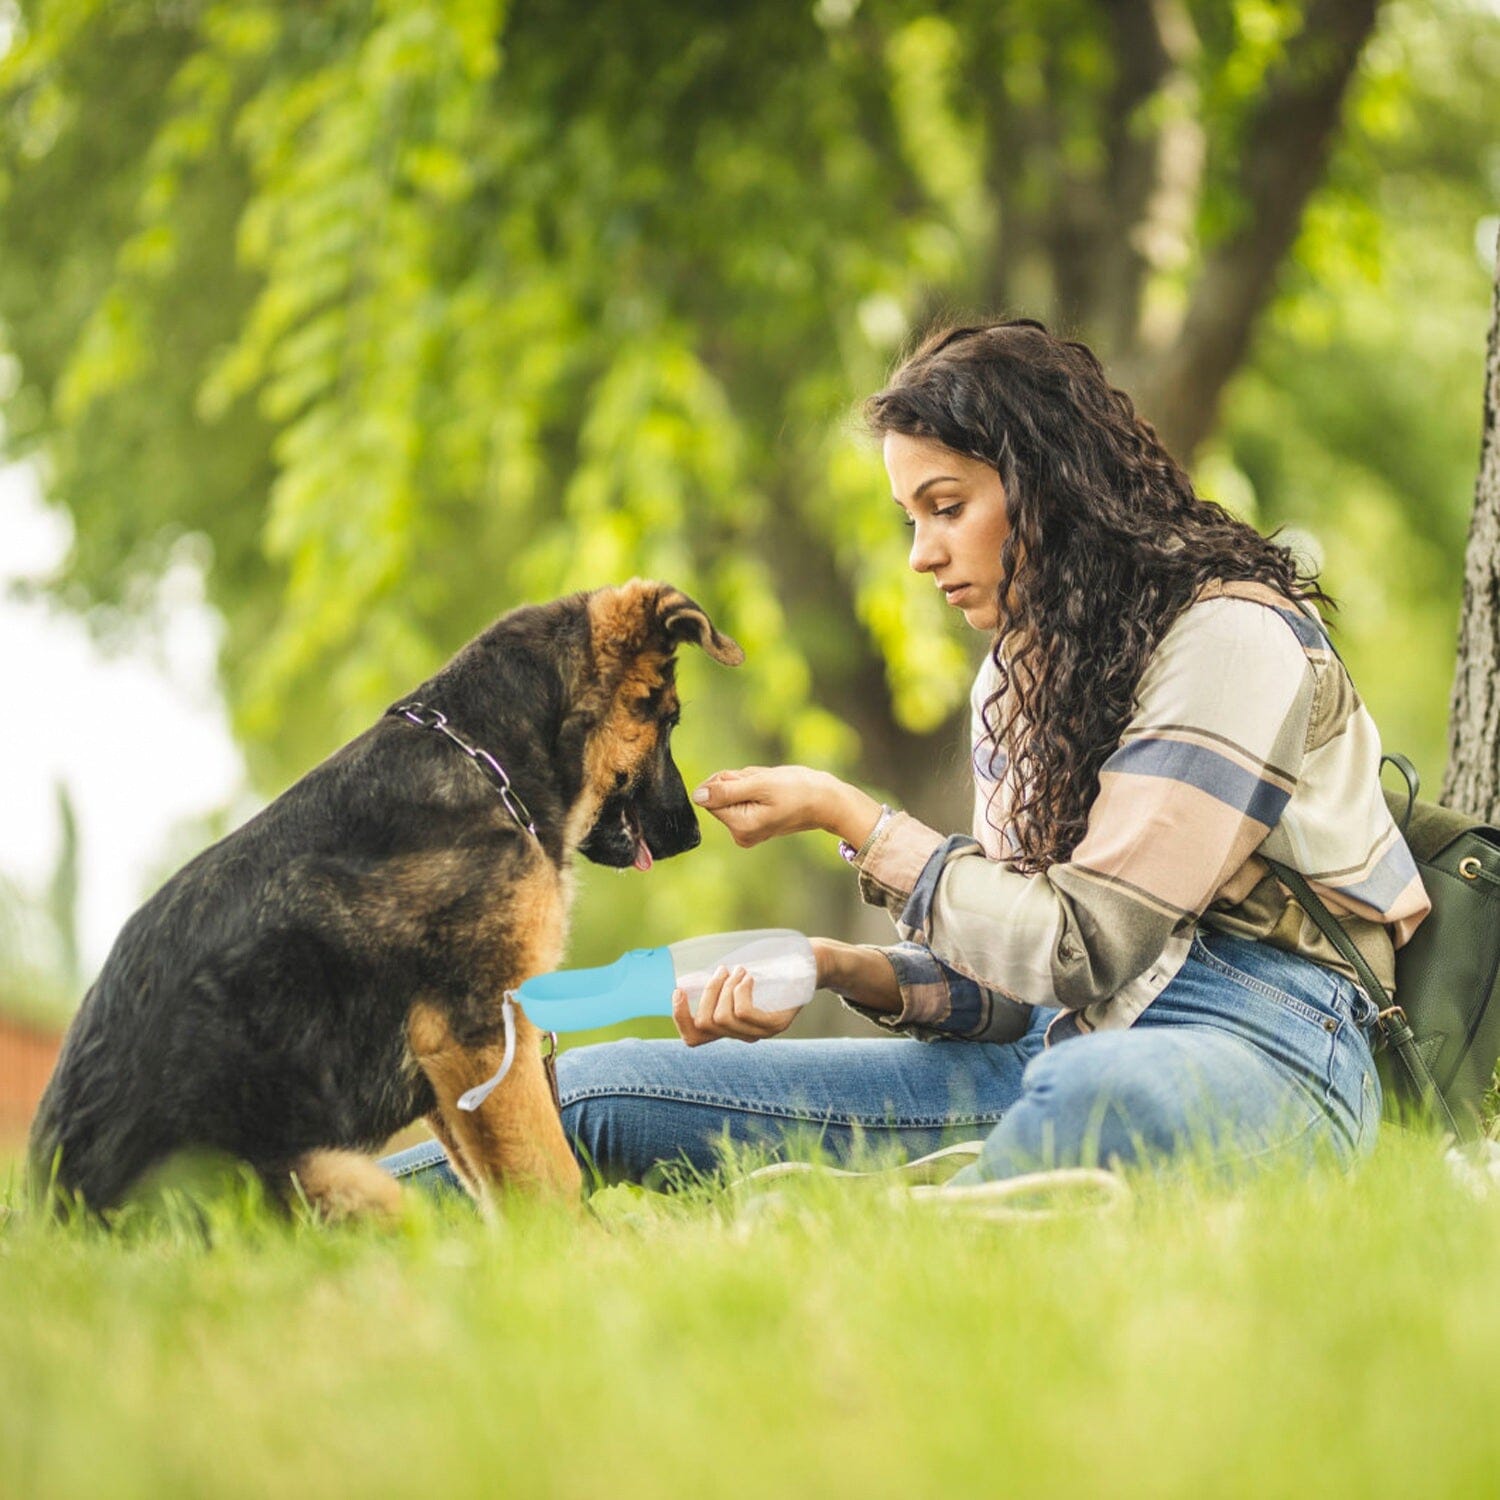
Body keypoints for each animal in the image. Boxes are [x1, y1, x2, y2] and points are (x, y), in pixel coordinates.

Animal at [29, 579, 744, 1212]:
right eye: (668, 720)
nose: (693, 835)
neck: (489, 763)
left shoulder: (453, 1073)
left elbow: (500, 1189)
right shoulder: (478, 1031)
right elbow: (549, 1177)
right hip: (344, 1181)